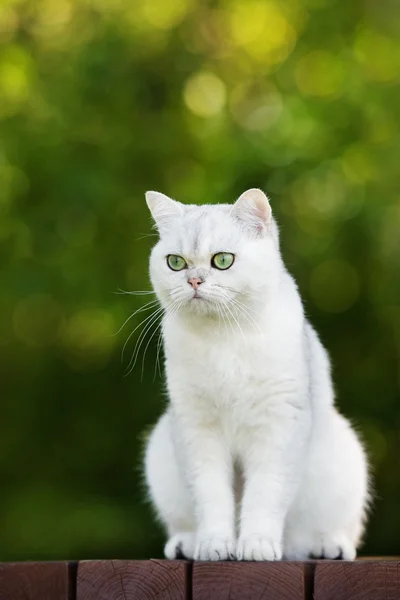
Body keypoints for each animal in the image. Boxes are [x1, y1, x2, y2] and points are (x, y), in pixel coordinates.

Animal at [143, 189, 368, 564]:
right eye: (175, 263)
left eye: (222, 260)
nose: (194, 281)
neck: (223, 337)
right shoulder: (196, 428)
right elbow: (211, 497)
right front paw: (215, 546)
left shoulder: (279, 425)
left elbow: (265, 495)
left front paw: (256, 547)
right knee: (184, 523)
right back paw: (187, 543)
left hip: (346, 456)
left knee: (321, 533)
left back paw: (326, 546)